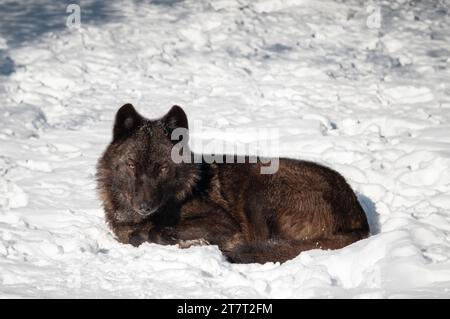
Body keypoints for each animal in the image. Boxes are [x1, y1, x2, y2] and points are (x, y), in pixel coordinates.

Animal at [96, 104, 370, 264]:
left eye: (162, 168)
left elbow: (154, 232)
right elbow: (136, 234)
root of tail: (360, 221)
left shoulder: (223, 223)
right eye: (132, 165)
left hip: (259, 186)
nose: (144, 206)